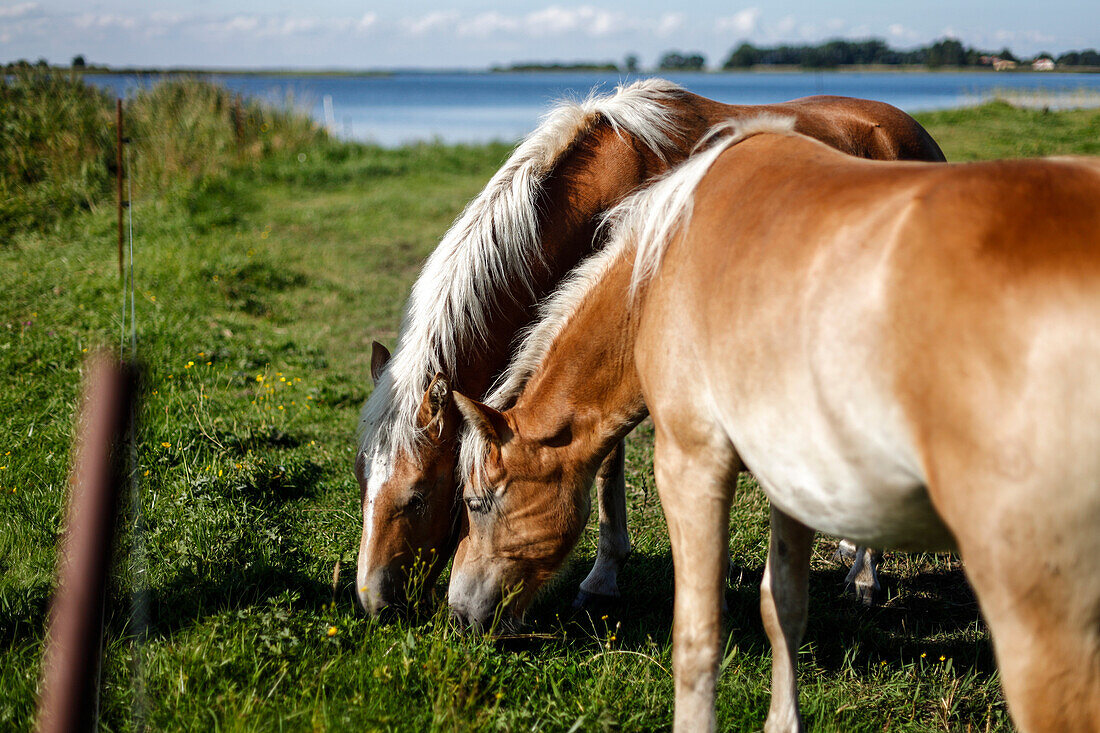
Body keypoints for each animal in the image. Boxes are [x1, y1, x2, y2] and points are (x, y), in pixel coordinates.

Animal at [354, 77, 946, 611]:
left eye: (419, 495)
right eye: (362, 480)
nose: (373, 600)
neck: (599, 190)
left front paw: (604, 577)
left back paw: (865, 572)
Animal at [446, 117, 1100, 726]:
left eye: (477, 502)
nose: (457, 611)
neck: (656, 273)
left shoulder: (690, 463)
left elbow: (698, 633)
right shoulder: (792, 472)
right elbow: (781, 606)